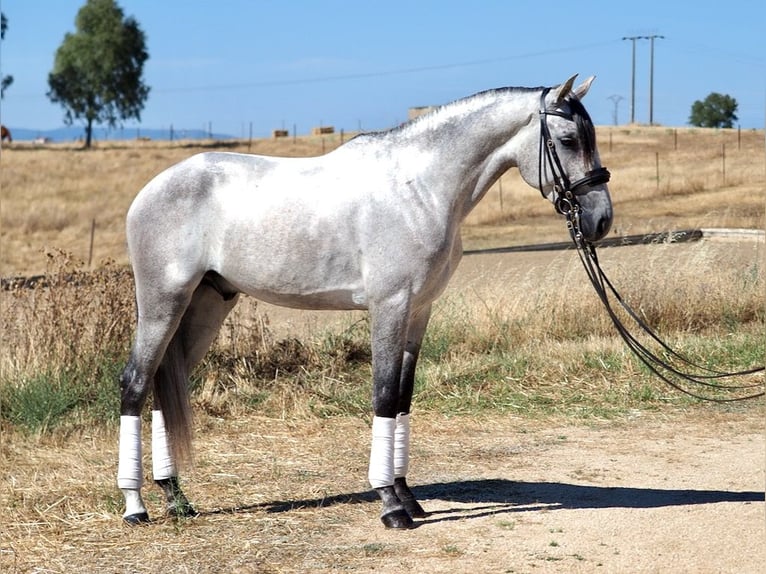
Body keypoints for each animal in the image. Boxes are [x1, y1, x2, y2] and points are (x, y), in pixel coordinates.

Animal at [117, 75, 616, 532]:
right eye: (568, 140)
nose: (601, 220)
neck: (420, 189)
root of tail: (149, 191)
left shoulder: (419, 312)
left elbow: (402, 398)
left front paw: (408, 496)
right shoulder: (390, 306)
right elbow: (383, 395)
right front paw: (391, 505)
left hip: (206, 306)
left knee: (164, 382)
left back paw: (175, 497)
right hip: (163, 303)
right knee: (135, 384)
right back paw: (135, 506)